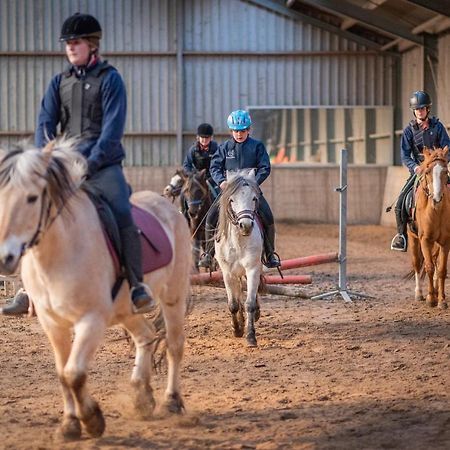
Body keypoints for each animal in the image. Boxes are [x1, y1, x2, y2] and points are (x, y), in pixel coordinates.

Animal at [0, 140, 192, 440]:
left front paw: (92, 420)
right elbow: (62, 373)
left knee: (174, 345)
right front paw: (70, 424)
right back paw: (141, 396)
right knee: (146, 335)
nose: (4, 258)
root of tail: (168, 207)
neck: (59, 252)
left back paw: (171, 402)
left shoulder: (91, 320)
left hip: (173, 296)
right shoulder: (52, 323)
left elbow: (74, 373)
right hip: (125, 309)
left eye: (31, 198)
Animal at [215, 170, 264, 348]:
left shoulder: (253, 269)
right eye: (232, 200)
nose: (246, 226)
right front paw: (237, 329)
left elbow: (249, 303)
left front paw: (250, 336)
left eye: (254, 198)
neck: (238, 241)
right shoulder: (227, 273)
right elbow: (233, 304)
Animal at [408, 146, 450, 308]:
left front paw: (442, 300)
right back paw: (419, 293)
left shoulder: (445, 242)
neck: (435, 211)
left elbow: (441, 270)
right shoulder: (425, 240)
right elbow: (429, 267)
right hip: (413, 239)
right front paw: (431, 299)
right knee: (417, 263)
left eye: (446, 171)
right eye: (427, 172)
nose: (437, 198)